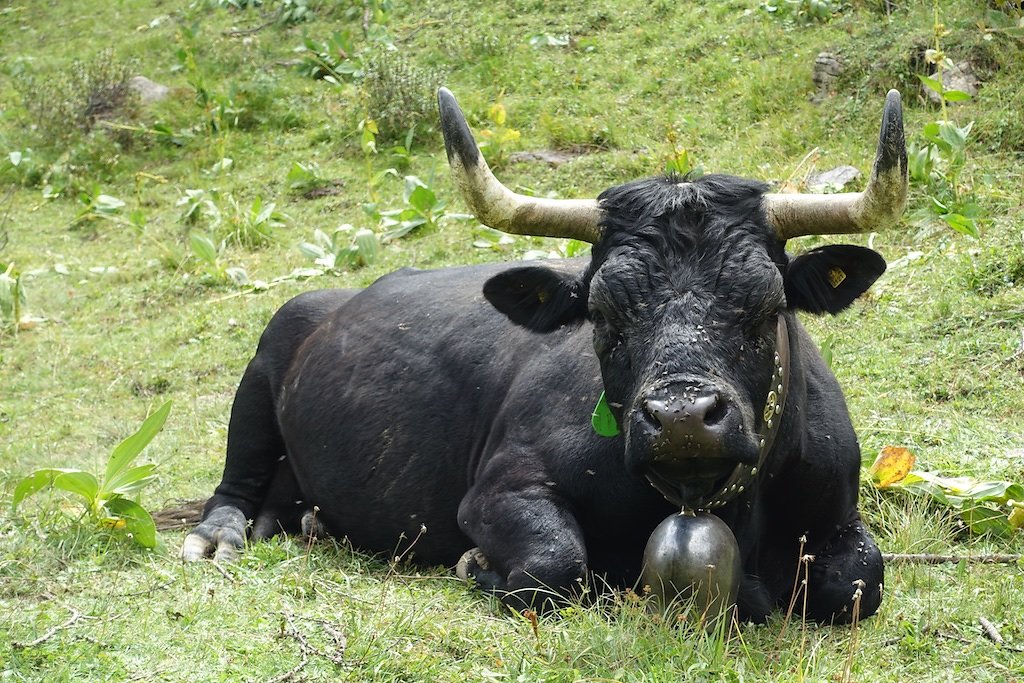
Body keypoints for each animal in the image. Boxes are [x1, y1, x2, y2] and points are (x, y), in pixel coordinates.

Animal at [182, 88, 905, 622]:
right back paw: (220, 534)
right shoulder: (501, 487)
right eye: (604, 314)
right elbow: (555, 564)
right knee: (234, 480)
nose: (682, 419)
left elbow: (858, 582)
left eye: (765, 304)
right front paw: (476, 564)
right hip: (261, 370)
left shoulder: (839, 512)